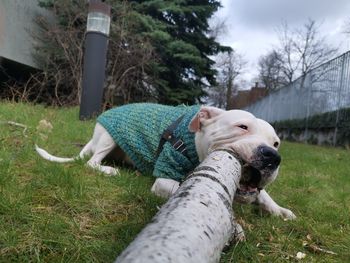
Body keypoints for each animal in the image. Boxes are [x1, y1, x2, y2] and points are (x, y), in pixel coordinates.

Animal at [37, 103, 296, 221]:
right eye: (242, 126)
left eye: (276, 143)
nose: (272, 157)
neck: (193, 138)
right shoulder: (164, 179)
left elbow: (263, 194)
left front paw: (279, 209)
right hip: (109, 137)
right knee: (92, 161)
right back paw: (108, 170)